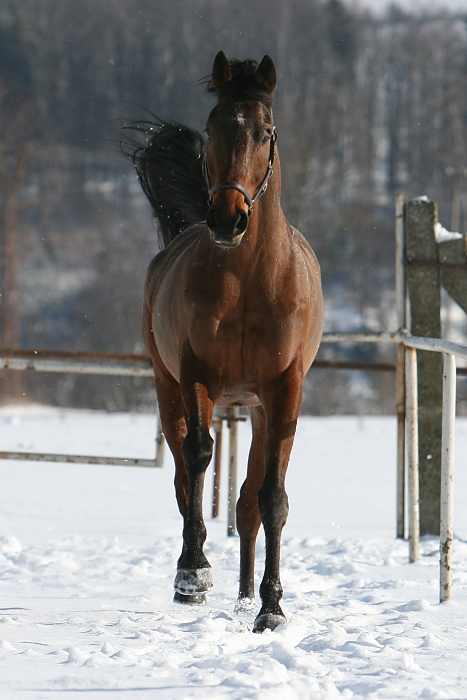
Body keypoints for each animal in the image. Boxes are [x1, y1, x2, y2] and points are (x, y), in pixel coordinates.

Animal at [122, 52, 324, 632]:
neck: (249, 280)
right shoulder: (196, 377)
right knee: (183, 476)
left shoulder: (283, 391)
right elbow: (197, 457)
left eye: (265, 132)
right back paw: (202, 577)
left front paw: (272, 610)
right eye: (212, 126)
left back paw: (244, 596)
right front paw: (192, 575)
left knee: (246, 505)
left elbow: (271, 498)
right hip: (167, 387)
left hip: (255, 408)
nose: (229, 218)